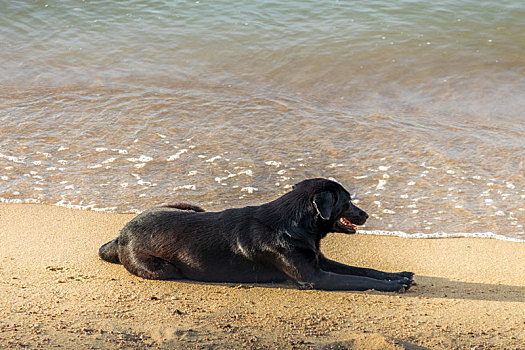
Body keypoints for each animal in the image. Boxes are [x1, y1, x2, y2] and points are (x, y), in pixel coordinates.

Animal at [99, 179, 414, 292]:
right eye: (347, 201)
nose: (366, 214)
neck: (293, 224)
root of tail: (121, 234)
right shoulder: (316, 277)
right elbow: (360, 280)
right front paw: (395, 284)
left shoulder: (320, 261)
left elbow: (364, 270)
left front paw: (397, 275)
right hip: (160, 268)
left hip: (188, 205)